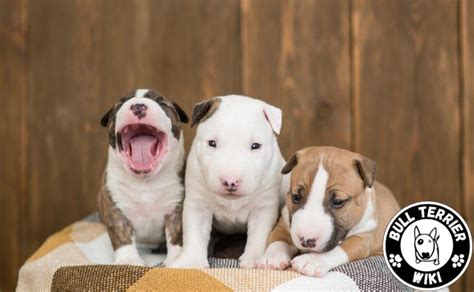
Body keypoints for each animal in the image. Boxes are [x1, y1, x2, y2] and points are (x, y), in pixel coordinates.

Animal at [98, 88, 189, 266]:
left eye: (161, 103)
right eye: (120, 104)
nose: (138, 106)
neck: (145, 182)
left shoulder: (176, 207)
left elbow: (177, 234)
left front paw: (175, 259)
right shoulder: (114, 206)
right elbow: (121, 234)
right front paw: (128, 261)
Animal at [171, 96, 288, 270]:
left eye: (255, 146)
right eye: (212, 143)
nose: (230, 182)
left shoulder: (263, 208)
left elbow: (259, 234)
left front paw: (254, 259)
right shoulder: (198, 205)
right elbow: (195, 233)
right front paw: (190, 261)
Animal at [260, 147, 400, 278]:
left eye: (338, 201)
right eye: (296, 197)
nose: (306, 241)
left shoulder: (363, 238)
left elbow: (339, 249)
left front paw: (312, 260)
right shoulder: (283, 223)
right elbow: (278, 239)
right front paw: (272, 256)